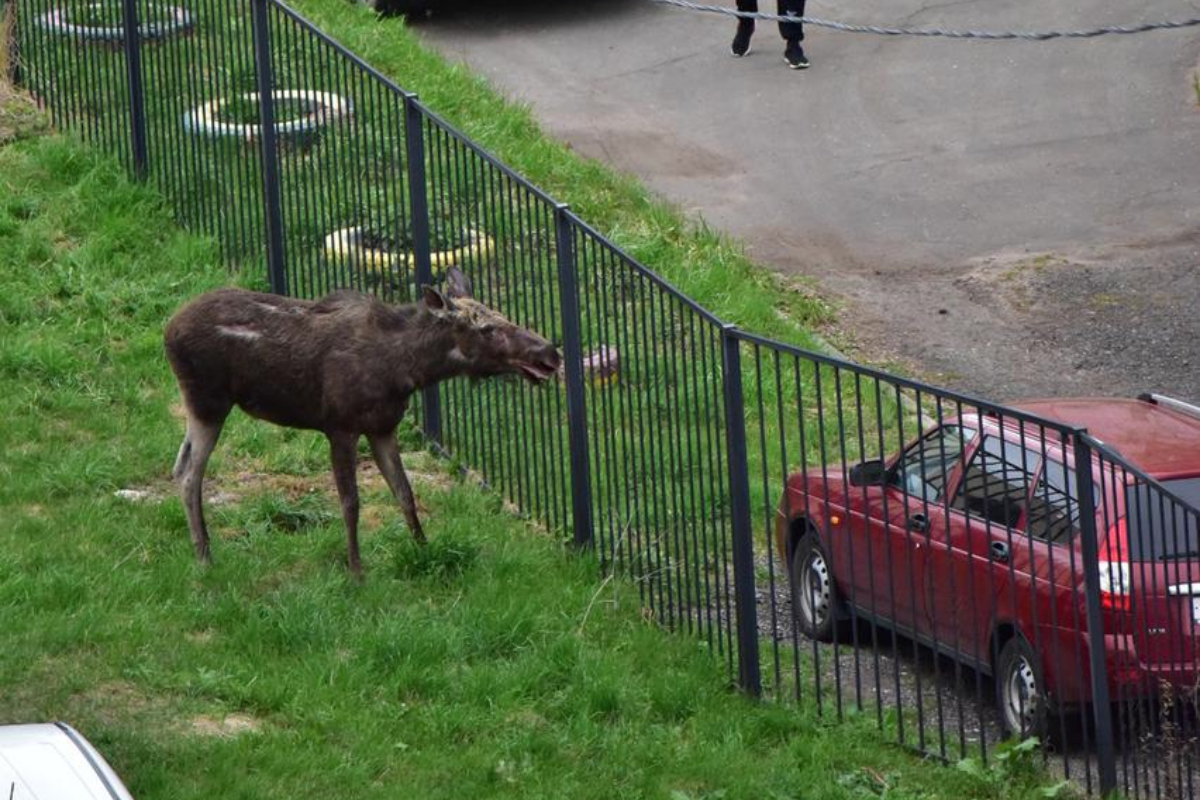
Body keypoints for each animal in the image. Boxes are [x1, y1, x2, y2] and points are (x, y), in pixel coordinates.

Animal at [164, 268, 561, 575]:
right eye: (487, 328)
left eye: (502, 314)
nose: (550, 352)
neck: (405, 370)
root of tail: (167, 331)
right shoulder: (340, 427)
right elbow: (350, 502)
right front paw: (357, 570)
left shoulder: (383, 428)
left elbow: (405, 493)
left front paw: (424, 548)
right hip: (207, 402)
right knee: (190, 473)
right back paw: (205, 556)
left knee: (179, 465)